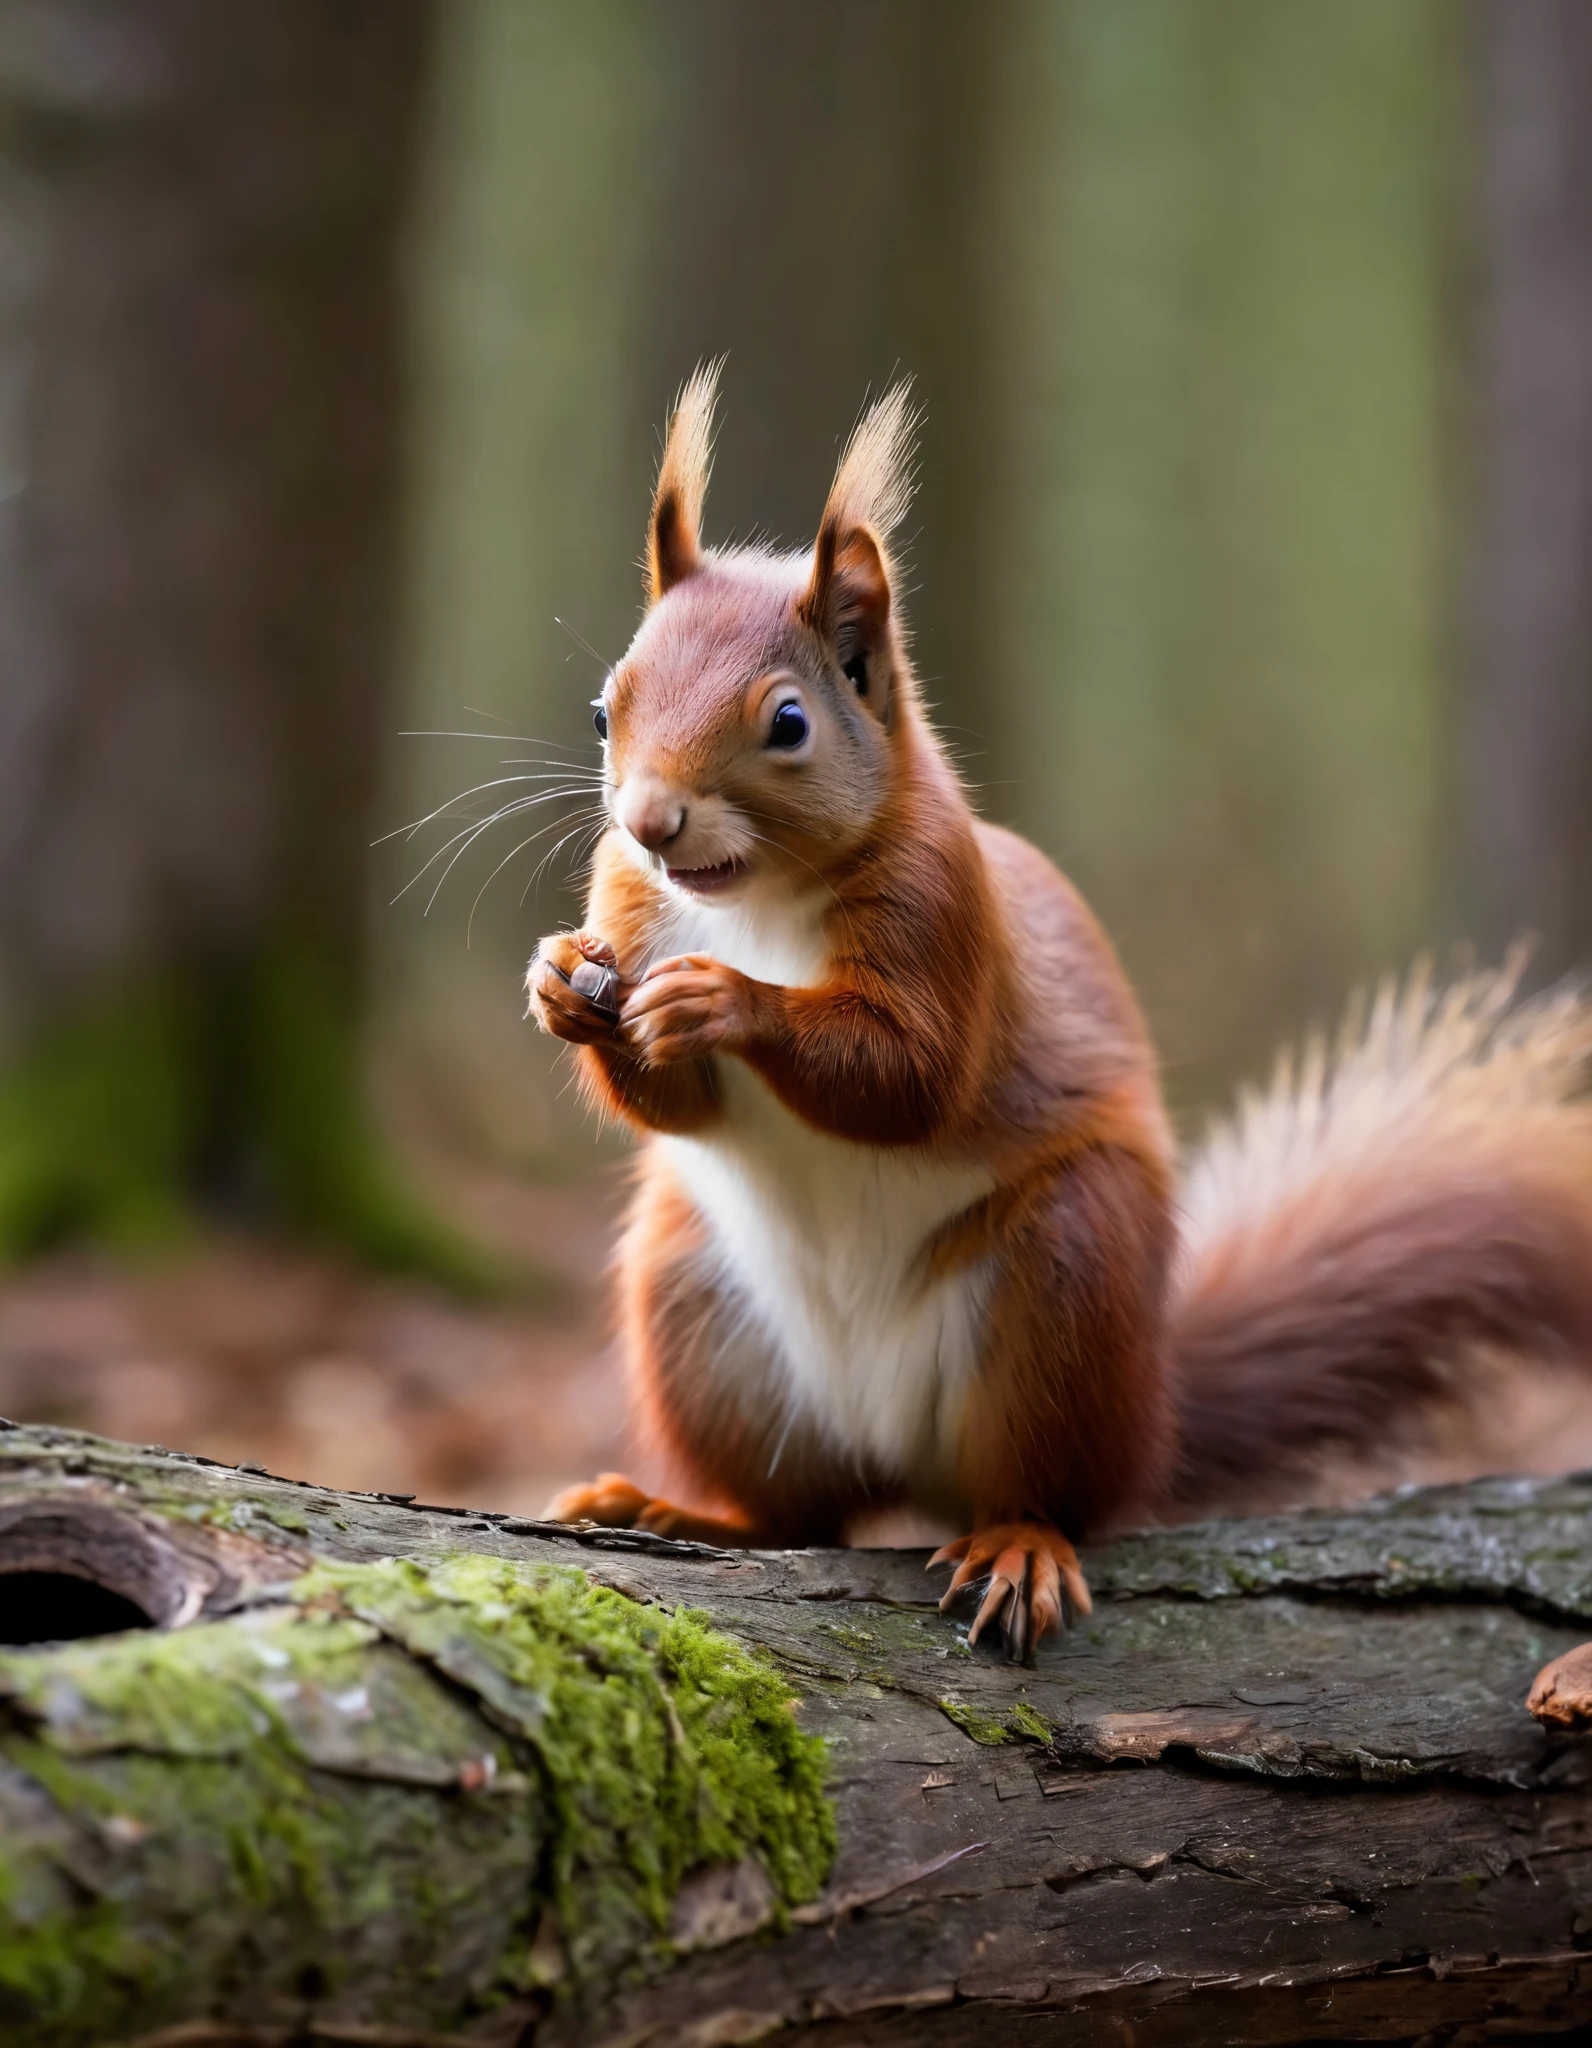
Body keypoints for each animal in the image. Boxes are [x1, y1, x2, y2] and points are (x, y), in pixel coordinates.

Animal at [528, 364, 1589, 1646]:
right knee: (798, 1511)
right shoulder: (629, 901)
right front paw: (559, 983)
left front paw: (725, 999)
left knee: (1043, 1488)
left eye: (787, 721)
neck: (751, 899)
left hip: (1064, 1285)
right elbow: (674, 1106)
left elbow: (907, 1078)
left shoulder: (944, 918)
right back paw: (680, 1510)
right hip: (695, 1305)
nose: (649, 821)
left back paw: (1019, 1545)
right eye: (602, 709)